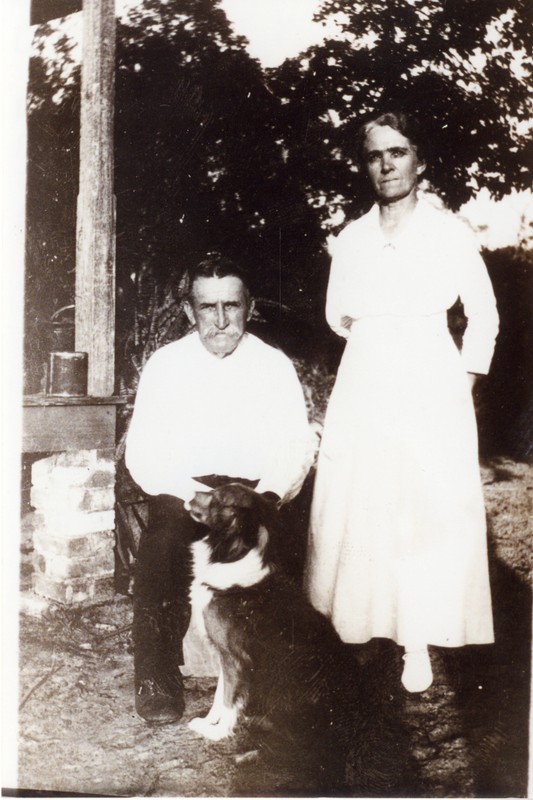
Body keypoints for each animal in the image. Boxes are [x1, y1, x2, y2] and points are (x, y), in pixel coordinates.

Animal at [185, 482, 356, 788]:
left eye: (219, 497)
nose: (190, 492)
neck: (235, 556)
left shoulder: (234, 659)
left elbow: (228, 700)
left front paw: (215, 731)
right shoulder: (225, 658)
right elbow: (219, 696)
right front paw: (208, 721)